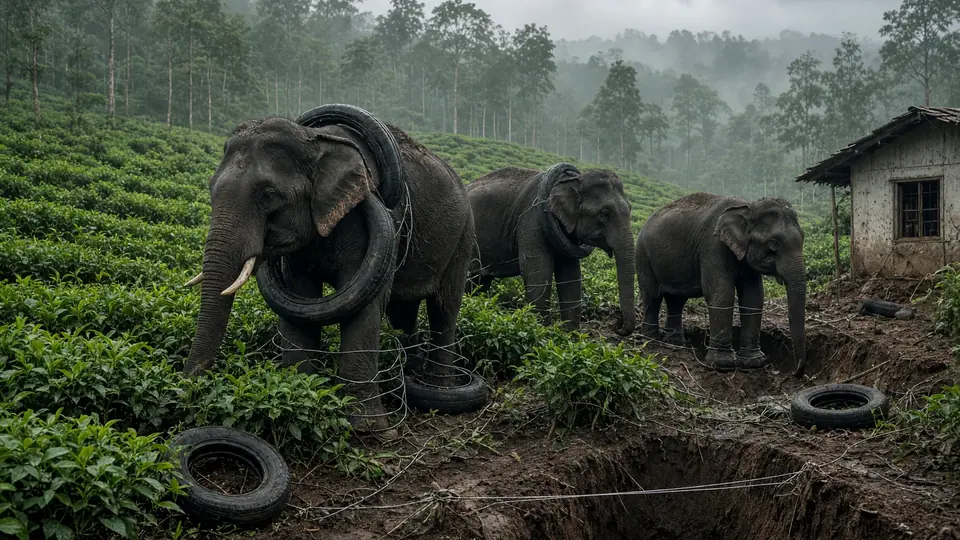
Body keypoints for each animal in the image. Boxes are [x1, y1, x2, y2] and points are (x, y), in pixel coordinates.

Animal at [180, 104, 482, 432]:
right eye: (210, 188)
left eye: (268, 195)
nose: (191, 387)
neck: (316, 142)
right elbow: (299, 298)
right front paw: (300, 393)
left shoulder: (369, 221)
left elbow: (365, 303)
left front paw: (366, 426)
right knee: (403, 314)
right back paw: (407, 377)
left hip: (463, 237)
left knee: (444, 309)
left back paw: (439, 389)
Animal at [465, 163, 636, 336]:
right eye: (605, 213)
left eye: (630, 209)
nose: (617, 324)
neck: (572, 180)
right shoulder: (532, 219)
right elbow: (537, 270)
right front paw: (542, 331)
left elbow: (570, 273)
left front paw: (570, 334)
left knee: (481, 279)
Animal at [635, 192, 807, 375]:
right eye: (773, 244)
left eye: (803, 238)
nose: (796, 372)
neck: (748, 207)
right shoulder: (712, 247)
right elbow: (722, 294)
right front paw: (723, 364)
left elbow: (753, 298)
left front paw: (753, 362)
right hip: (643, 255)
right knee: (652, 296)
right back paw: (651, 339)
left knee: (676, 300)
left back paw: (675, 342)